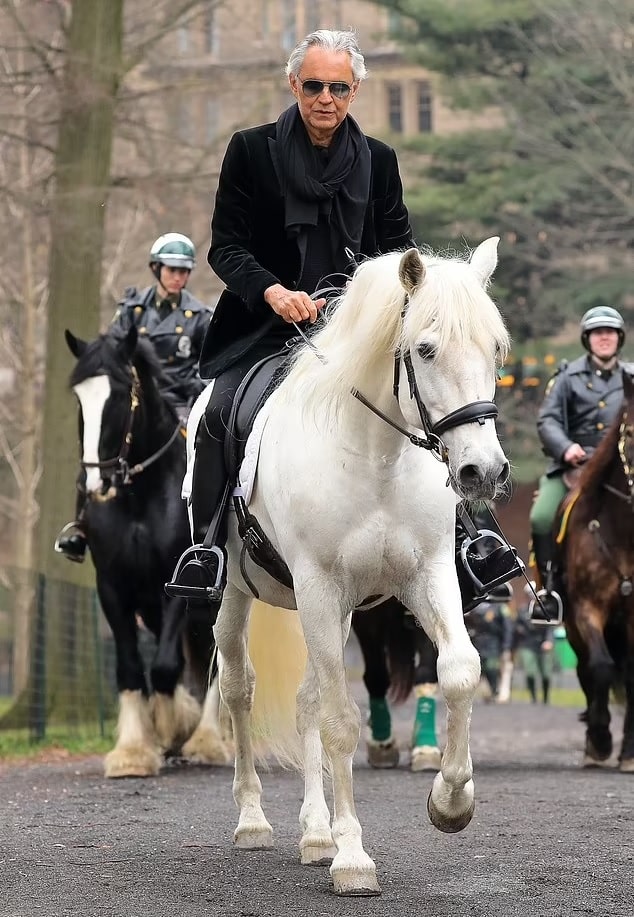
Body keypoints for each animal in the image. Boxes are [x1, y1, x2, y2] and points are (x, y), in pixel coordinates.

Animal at [61, 326, 228, 776]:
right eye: (78, 397)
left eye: (119, 396)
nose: (94, 484)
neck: (140, 496)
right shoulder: (112, 587)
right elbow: (131, 668)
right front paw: (134, 750)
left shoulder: (178, 583)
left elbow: (166, 666)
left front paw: (171, 729)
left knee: (217, 659)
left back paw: (208, 740)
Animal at [207, 236, 508, 896]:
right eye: (425, 348)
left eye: (496, 348)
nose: (483, 471)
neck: (377, 458)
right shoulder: (320, 587)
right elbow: (342, 722)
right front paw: (352, 858)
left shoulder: (427, 576)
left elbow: (460, 670)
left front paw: (451, 801)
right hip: (243, 593)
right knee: (240, 687)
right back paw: (253, 820)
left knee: (307, 700)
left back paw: (315, 832)